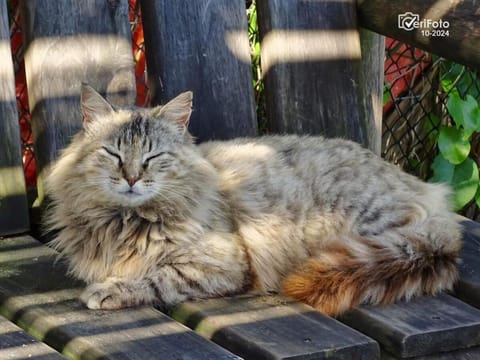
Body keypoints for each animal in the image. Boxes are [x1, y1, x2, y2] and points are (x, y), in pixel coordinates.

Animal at [44, 83, 462, 316]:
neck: (126, 221)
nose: (131, 178)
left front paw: (110, 291)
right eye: (113, 154)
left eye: (153, 157)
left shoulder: (221, 265)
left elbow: (157, 278)